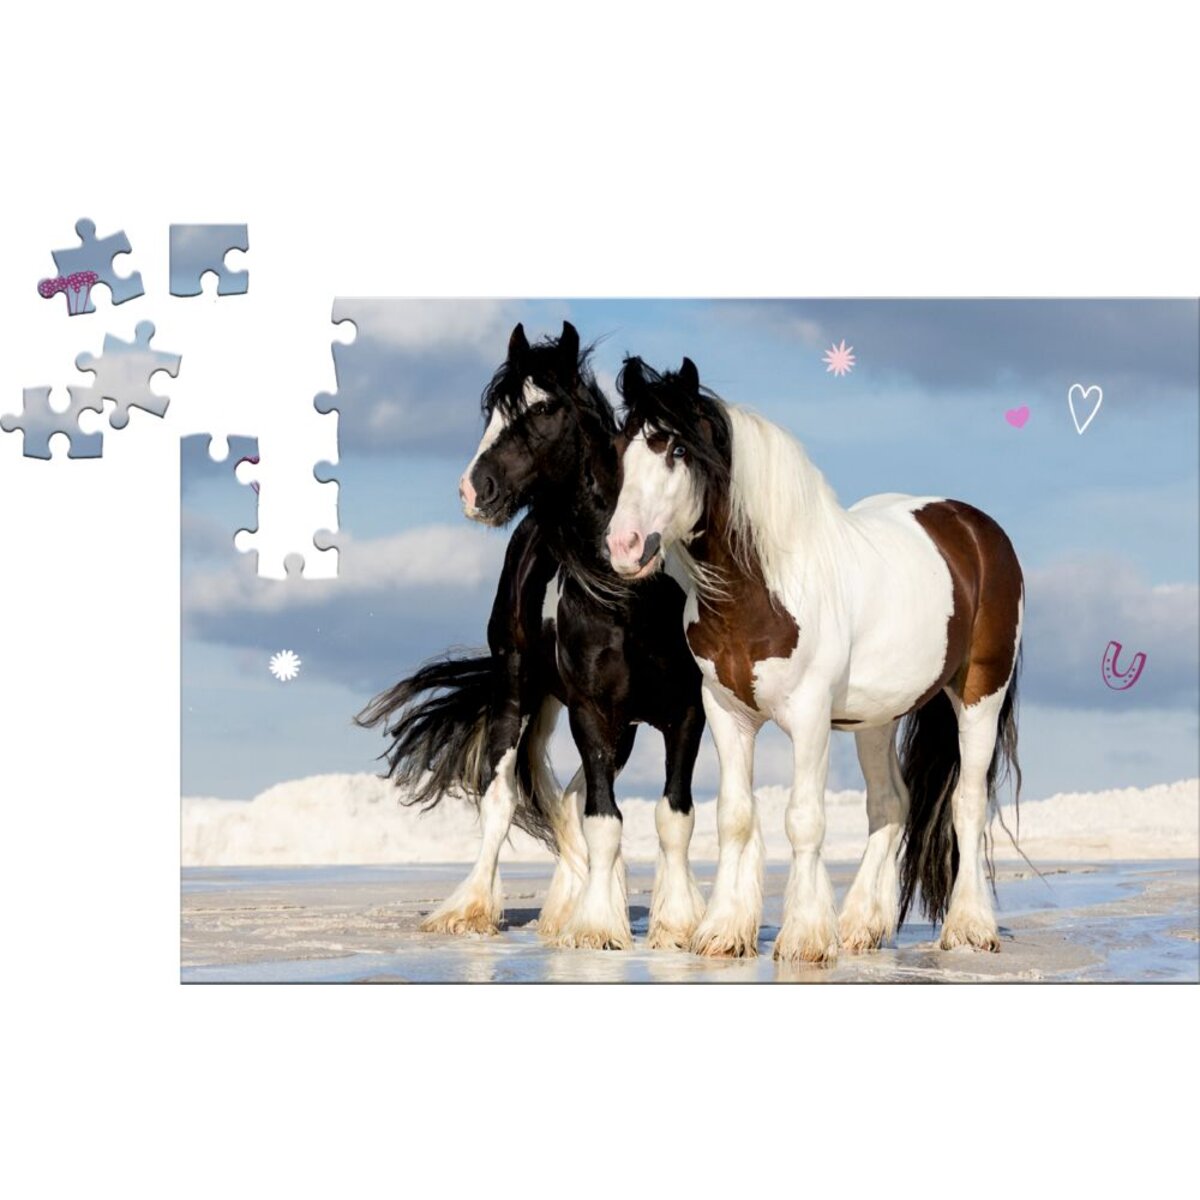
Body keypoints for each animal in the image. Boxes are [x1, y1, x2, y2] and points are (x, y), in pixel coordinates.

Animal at [358, 323, 706, 950]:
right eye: (494, 410)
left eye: (543, 408)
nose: (474, 490)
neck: (633, 597)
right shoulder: (591, 709)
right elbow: (603, 820)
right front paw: (597, 927)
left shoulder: (686, 711)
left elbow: (673, 817)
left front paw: (676, 923)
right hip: (519, 686)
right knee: (503, 798)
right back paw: (471, 910)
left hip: (619, 727)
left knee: (570, 799)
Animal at [605, 356, 1023, 964]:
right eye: (621, 448)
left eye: (678, 449)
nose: (624, 546)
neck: (762, 588)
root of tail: (975, 530)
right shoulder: (726, 714)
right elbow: (734, 818)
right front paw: (724, 930)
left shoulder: (808, 718)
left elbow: (803, 820)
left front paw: (803, 936)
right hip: (877, 718)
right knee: (890, 804)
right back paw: (861, 926)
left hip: (979, 696)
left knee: (966, 803)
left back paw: (968, 928)